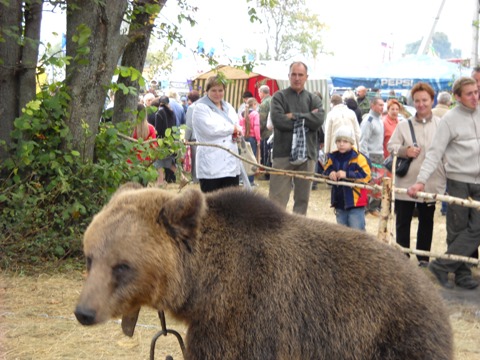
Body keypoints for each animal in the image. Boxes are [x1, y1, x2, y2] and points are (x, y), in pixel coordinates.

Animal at [75, 184, 454, 358]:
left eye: (122, 266)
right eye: (90, 257)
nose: (84, 312)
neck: (207, 286)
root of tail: (433, 295)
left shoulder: (248, 321)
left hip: (395, 337)